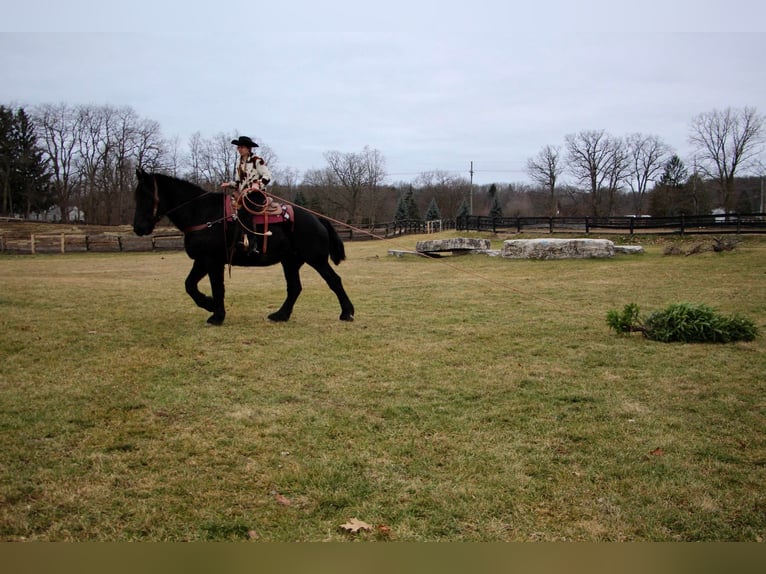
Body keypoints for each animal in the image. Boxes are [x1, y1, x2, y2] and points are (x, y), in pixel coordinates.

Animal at [134, 169, 356, 326]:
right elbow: (190, 285)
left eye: (145, 195)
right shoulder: (202, 260)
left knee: (334, 281)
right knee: (294, 288)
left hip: (316, 260)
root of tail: (318, 219)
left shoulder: (212, 261)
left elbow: (216, 288)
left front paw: (216, 314)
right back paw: (280, 315)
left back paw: (347, 312)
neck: (202, 214)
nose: (138, 228)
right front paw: (209, 305)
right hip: (291, 262)